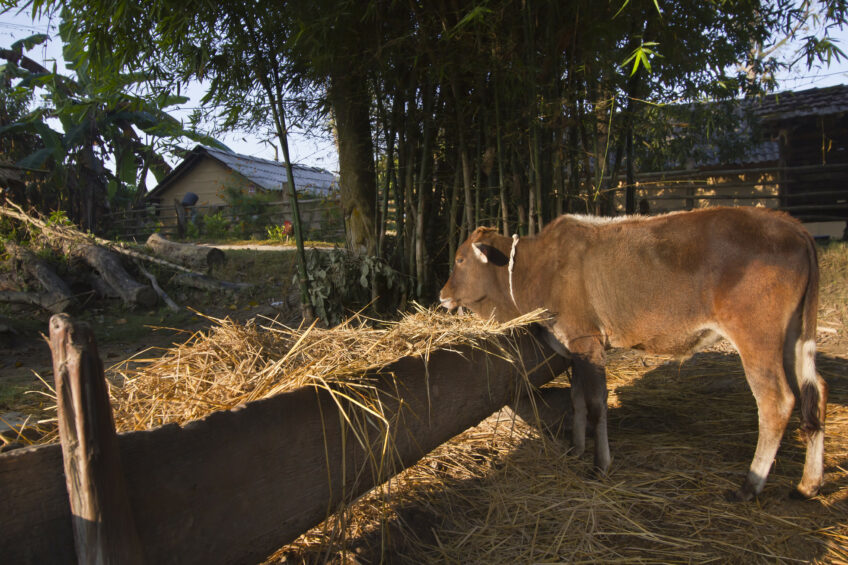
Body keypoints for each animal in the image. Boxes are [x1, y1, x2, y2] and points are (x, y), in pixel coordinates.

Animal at [440, 206, 824, 498]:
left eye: (459, 259)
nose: (442, 294)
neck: (536, 270)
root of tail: (790, 225)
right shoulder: (573, 347)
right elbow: (577, 399)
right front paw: (577, 448)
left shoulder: (588, 340)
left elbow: (596, 403)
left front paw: (600, 464)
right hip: (793, 338)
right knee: (815, 391)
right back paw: (808, 484)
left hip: (756, 336)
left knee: (776, 402)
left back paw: (750, 485)